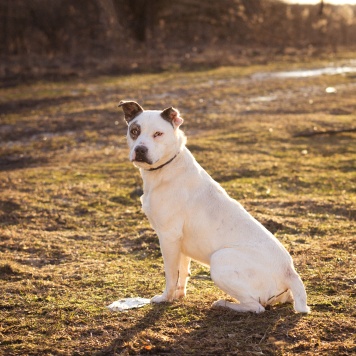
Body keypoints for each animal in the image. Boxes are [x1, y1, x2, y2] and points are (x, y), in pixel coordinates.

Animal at [119, 101, 308, 314]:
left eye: (158, 134)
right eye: (134, 131)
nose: (140, 149)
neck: (167, 167)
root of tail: (289, 271)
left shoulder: (168, 237)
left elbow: (171, 274)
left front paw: (165, 298)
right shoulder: (179, 242)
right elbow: (182, 273)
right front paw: (178, 296)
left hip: (220, 260)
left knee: (257, 307)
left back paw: (225, 304)